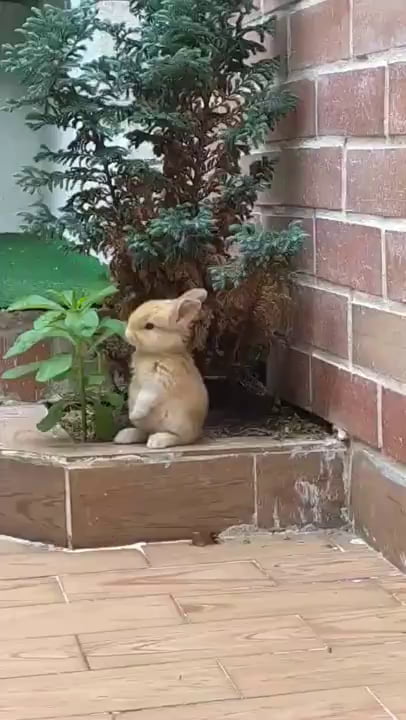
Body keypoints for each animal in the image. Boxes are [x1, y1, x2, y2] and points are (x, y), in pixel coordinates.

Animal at [113, 288, 209, 449]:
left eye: (150, 326)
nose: (127, 333)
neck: (160, 352)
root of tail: (198, 431)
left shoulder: (159, 379)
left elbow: (146, 397)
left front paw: (134, 414)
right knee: (144, 432)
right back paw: (124, 436)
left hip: (177, 422)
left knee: (181, 438)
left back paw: (157, 440)